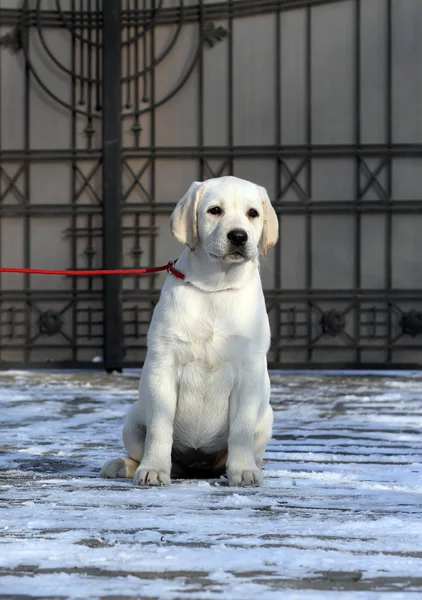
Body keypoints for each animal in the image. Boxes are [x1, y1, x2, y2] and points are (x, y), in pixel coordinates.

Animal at [100, 176, 278, 486]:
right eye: (215, 210)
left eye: (253, 213)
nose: (238, 236)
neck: (215, 287)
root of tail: (198, 465)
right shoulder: (164, 366)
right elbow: (160, 427)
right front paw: (153, 469)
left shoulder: (249, 371)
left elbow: (241, 429)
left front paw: (242, 471)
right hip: (132, 419)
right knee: (149, 451)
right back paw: (123, 465)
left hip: (266, 418)